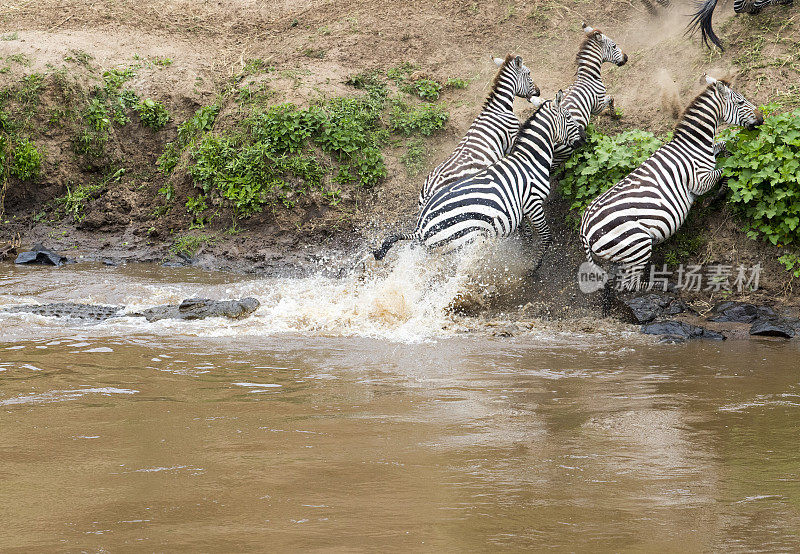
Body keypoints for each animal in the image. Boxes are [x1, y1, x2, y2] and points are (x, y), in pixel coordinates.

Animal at [372, 89, 584, 266]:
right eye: (568, 117)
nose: (583, 138)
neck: (529, 160)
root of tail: (420, 229)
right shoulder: (533, 202)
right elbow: (546, 236)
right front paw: (534, 266)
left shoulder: (520, 208)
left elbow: (525, 231)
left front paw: (526, 247)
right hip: (465, 244)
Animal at [552, 23, 628, 169]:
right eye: (614, 46)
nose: (626, 57)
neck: (588, 77)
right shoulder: (597, 104)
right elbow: (611, 98)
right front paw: (614, 115)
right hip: (563, 152)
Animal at [580, 75, 760, 308]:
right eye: (740, 102)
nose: (762, 119)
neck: (693, 145)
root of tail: (584, 229)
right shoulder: (699, 181)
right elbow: (725, 169)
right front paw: (716, 196)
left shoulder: (712, 153)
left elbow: (726, 148)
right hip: (637, 244)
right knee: (631, 286)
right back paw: (665, 286)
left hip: (621, 252)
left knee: (619, 280)